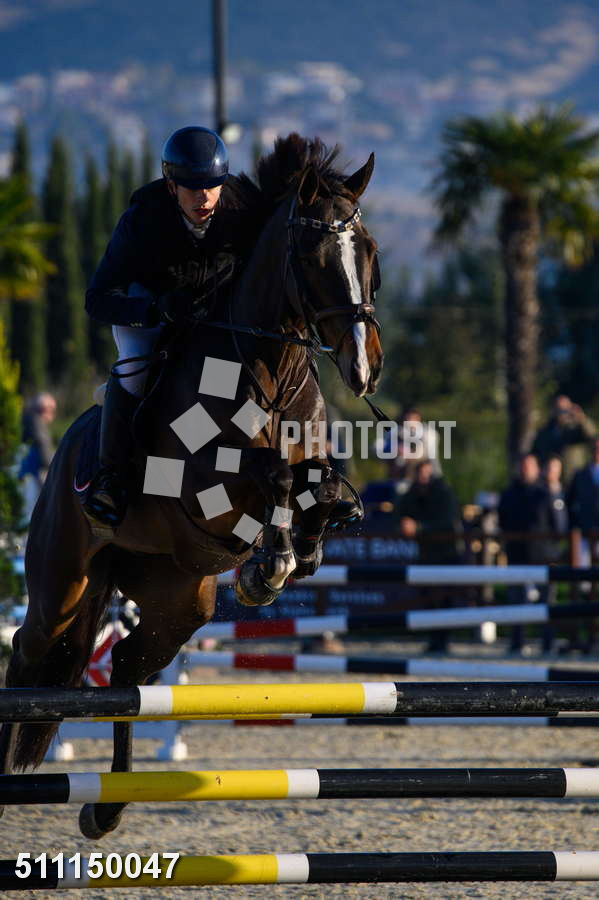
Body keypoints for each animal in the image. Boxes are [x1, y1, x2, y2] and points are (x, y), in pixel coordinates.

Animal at [0, 133, 383, 838]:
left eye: (369, 254)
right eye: (312, 256)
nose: (364, 368)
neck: (269, 367)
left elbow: (322, 487)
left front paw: (300, 550)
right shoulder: (205, 488)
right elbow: (273, 476)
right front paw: (269, 567)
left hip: (181, 601)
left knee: (127, 667)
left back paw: (105, 810)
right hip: (61, 585)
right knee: (29, 647)